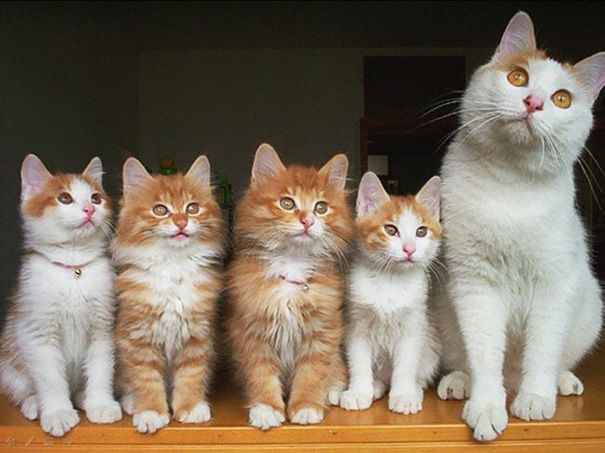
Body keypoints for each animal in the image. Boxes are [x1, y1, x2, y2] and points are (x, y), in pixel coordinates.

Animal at [0, 154, 122, 434]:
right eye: (65, 198)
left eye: (96, 198)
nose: (89, 209)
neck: (73, 269)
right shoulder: (38, 332)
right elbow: (51, 379)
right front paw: (57, 412)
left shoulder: (102, 328)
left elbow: (101, 368)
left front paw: (101, 403)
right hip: (8, 358)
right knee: (22, 388)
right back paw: (35, 403)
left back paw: (83, 397)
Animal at [111, 154, 224, 430]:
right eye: (160, 210)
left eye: (192, 208)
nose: (181, 222)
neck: (173, 267)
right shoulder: (137, 339)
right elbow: (146, 380)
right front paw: (151, 412)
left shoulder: (197, 337)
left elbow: (191, 377)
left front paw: (190, 407)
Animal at [226, 143, 354, 430]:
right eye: (287, 203)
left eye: (321, 207)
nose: (307, 221)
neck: (293, 262)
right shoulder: (252, 332)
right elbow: (261, 375)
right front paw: (266, 408)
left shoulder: (322, 330)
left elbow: (312, 373)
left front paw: (306, 405)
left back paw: (333, 389)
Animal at [342, 172, 442, 414]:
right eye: (390, 230)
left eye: (421, 232)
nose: (409, 249)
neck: (390, 281)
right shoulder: (356, 324)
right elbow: (358, 361)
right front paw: (359, 391)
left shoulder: (413, 325)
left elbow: (406, 364)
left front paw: (404, 394)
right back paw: (375, 387)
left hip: (431, 344)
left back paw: (414, 389)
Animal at [432, 11, 604, 442]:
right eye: (518, 77)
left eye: (562, 99)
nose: (534, 102)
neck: (510, 187)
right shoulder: (476, 284)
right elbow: (484, 353)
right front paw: (487, 407)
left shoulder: (553, 285)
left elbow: (542, 350)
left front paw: (536, 399)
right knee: (468, 360)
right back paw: (459, 382)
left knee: (554, 358)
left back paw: (561, 382)